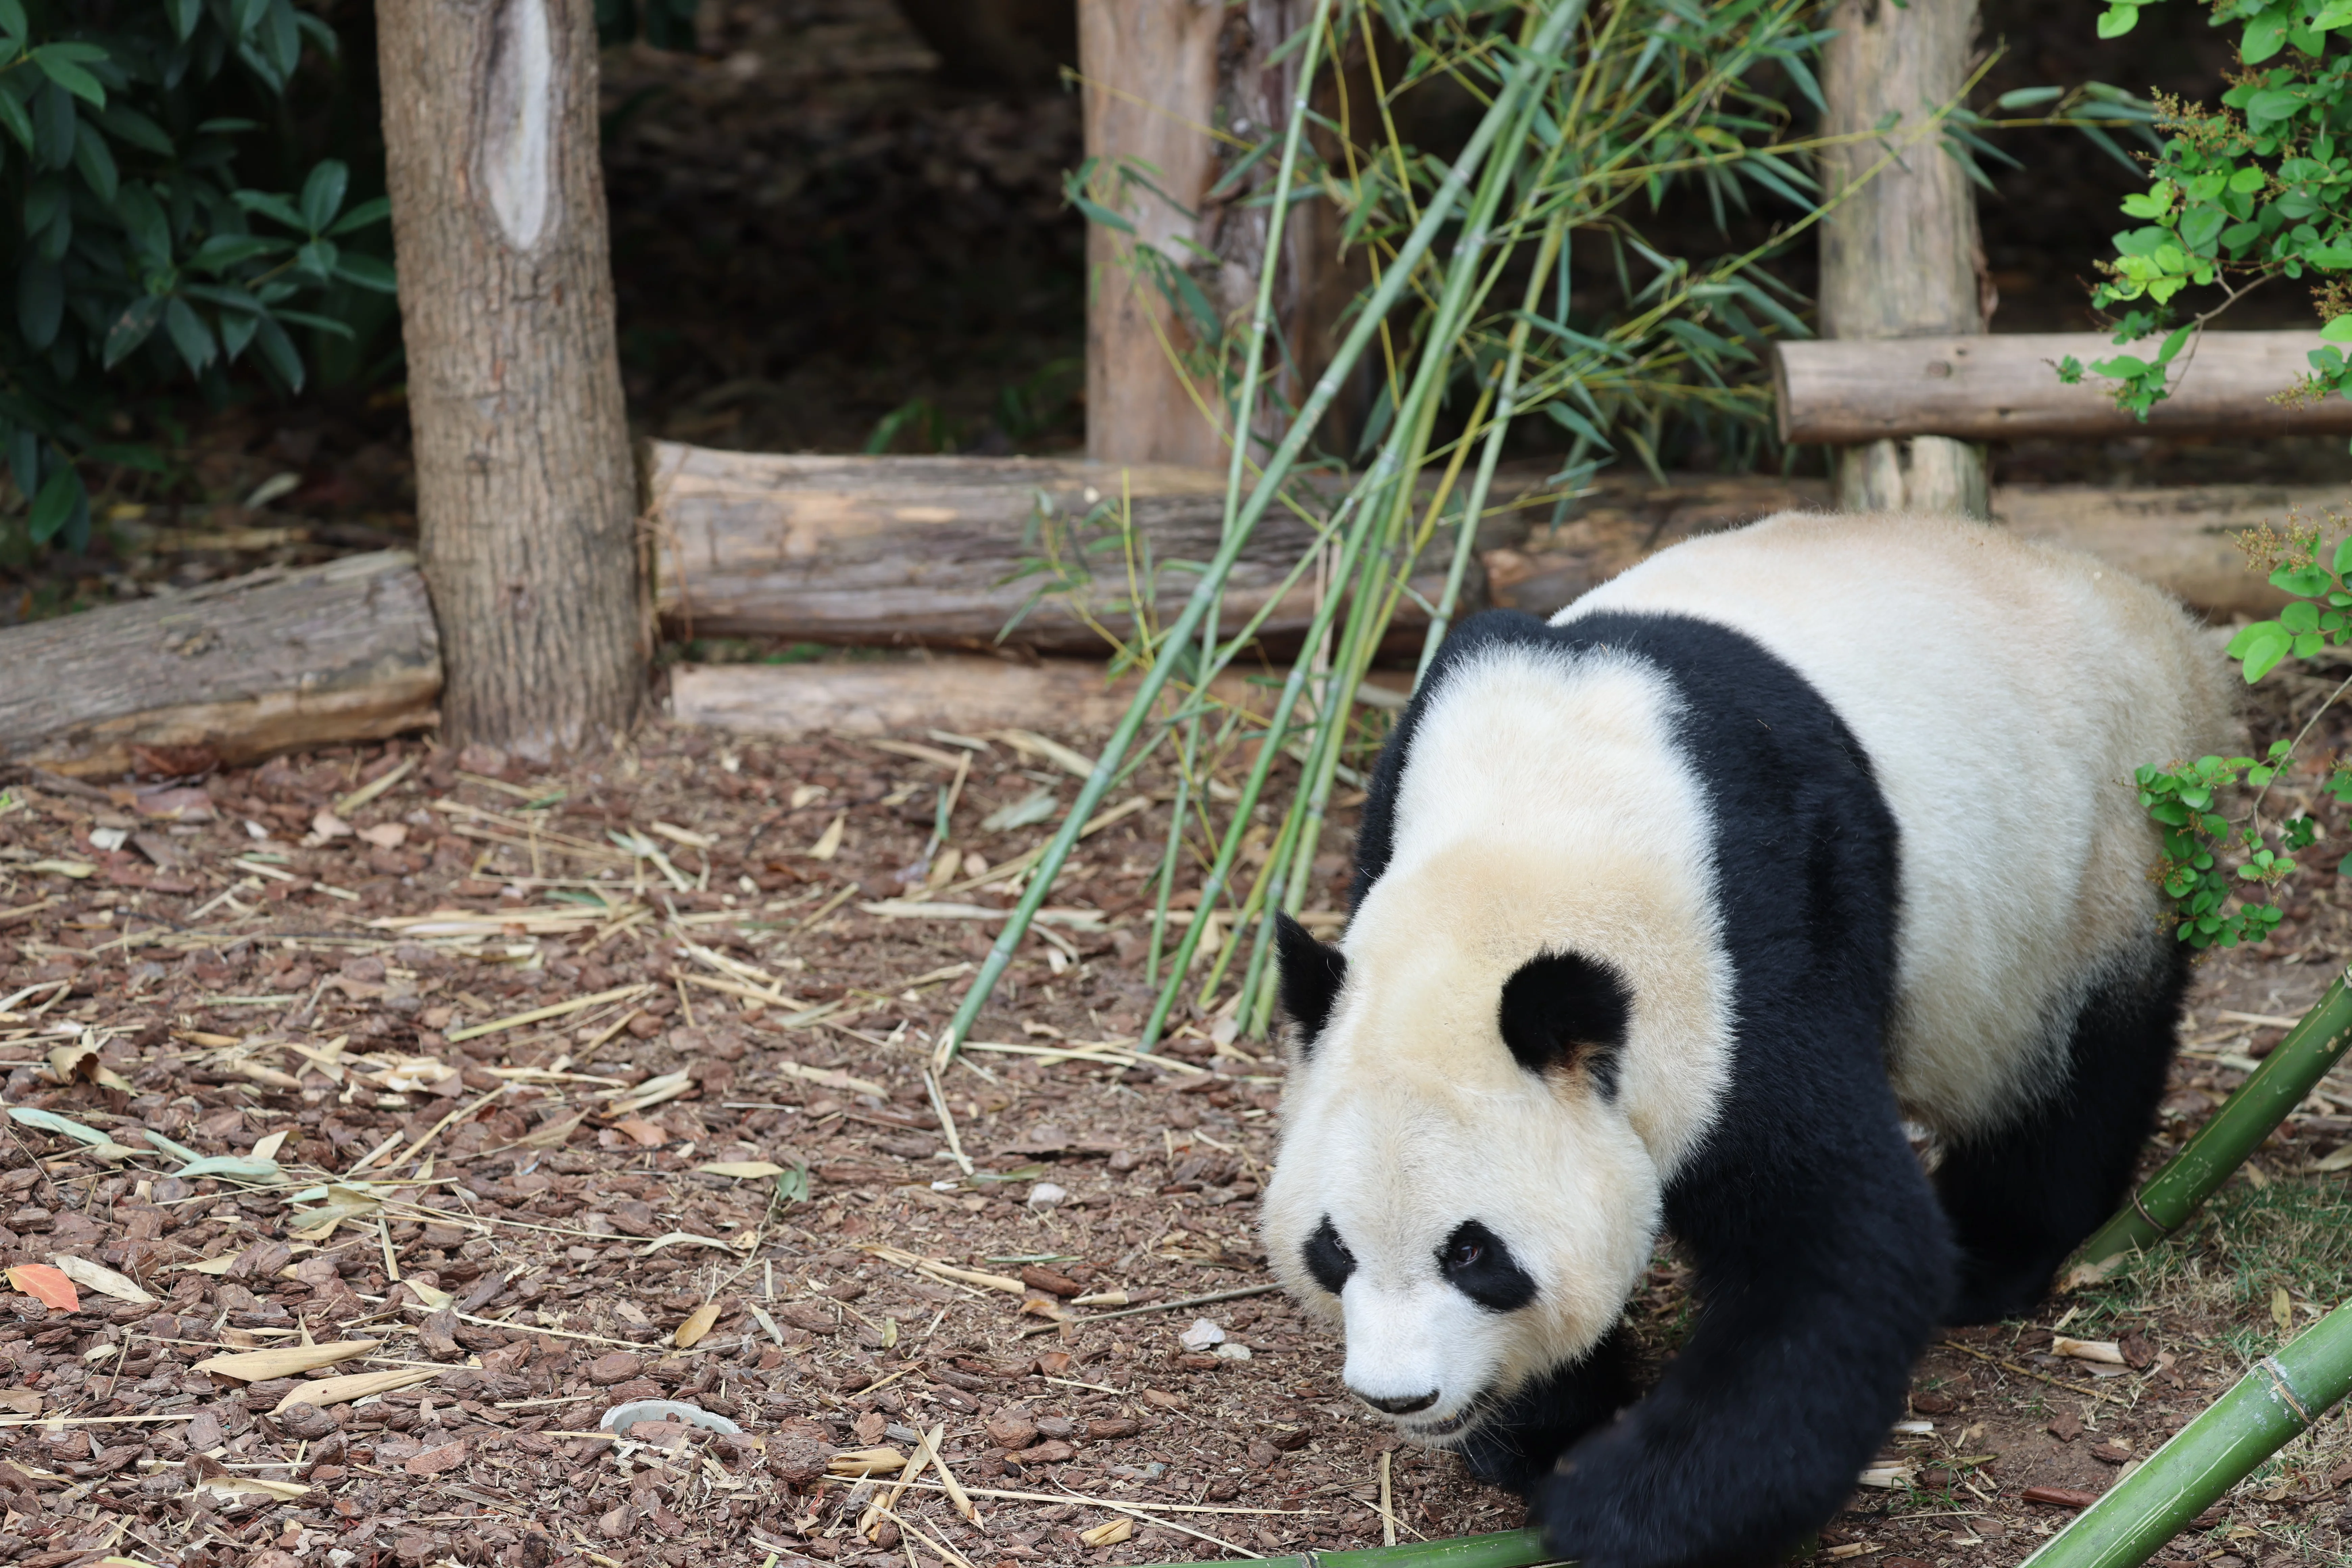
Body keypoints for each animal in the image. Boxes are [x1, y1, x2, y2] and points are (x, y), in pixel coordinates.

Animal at [1261, 511, 2238, 1568]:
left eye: (1473, 1253)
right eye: (1333, 1247)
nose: (1402, 1396)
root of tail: (2163, 616)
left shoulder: (1761, 940)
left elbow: (1840, 1242)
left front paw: (1614, 1505)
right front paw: (1544, 1427)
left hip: (2105, 849)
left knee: (2073, 1069)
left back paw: (1998, 1249)